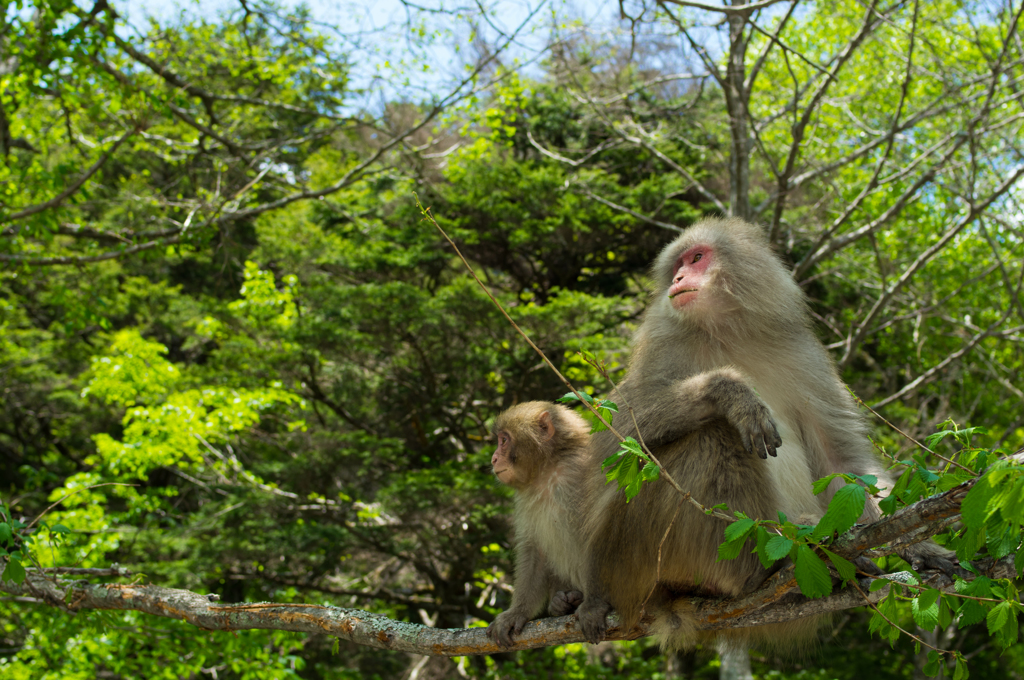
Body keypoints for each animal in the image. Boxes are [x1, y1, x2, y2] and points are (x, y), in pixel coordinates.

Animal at [485, 401, 606, 647]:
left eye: (504, 440)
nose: (493, 459)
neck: (548, 470)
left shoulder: (581, 471)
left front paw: (594, 605)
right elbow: (534, 550)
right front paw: (517, 612)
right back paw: (562, 601)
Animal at [573, 219, 946, 655]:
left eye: (697, 257)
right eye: (678, 266)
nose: (678, 278)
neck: (727, 331)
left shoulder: (802, 354)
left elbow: (841, 462)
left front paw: (923, 548)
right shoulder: (662, 341)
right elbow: (613, 445)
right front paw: (730, 391)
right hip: (633, 555)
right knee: (711, 439)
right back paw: (762, 569)